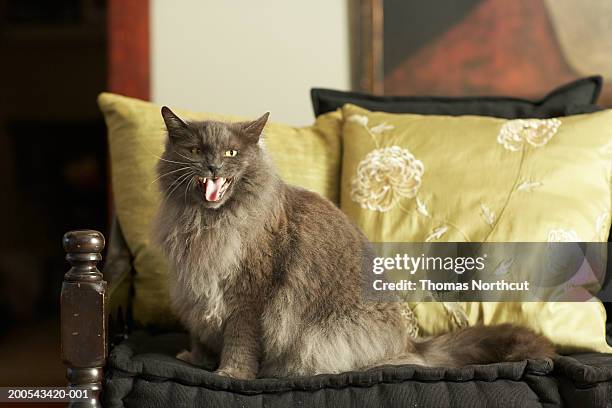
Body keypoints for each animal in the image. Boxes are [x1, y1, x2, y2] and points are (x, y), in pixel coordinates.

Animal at [152, 107, 556, 380]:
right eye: (195, 151)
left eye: (231, 154)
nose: (213, 167)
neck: (206, 224)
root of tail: (409, 342)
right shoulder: (195, 289)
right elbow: (201, 331)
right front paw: (197, 359)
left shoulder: (248, 295)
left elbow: (239, 342)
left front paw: (230, 373)